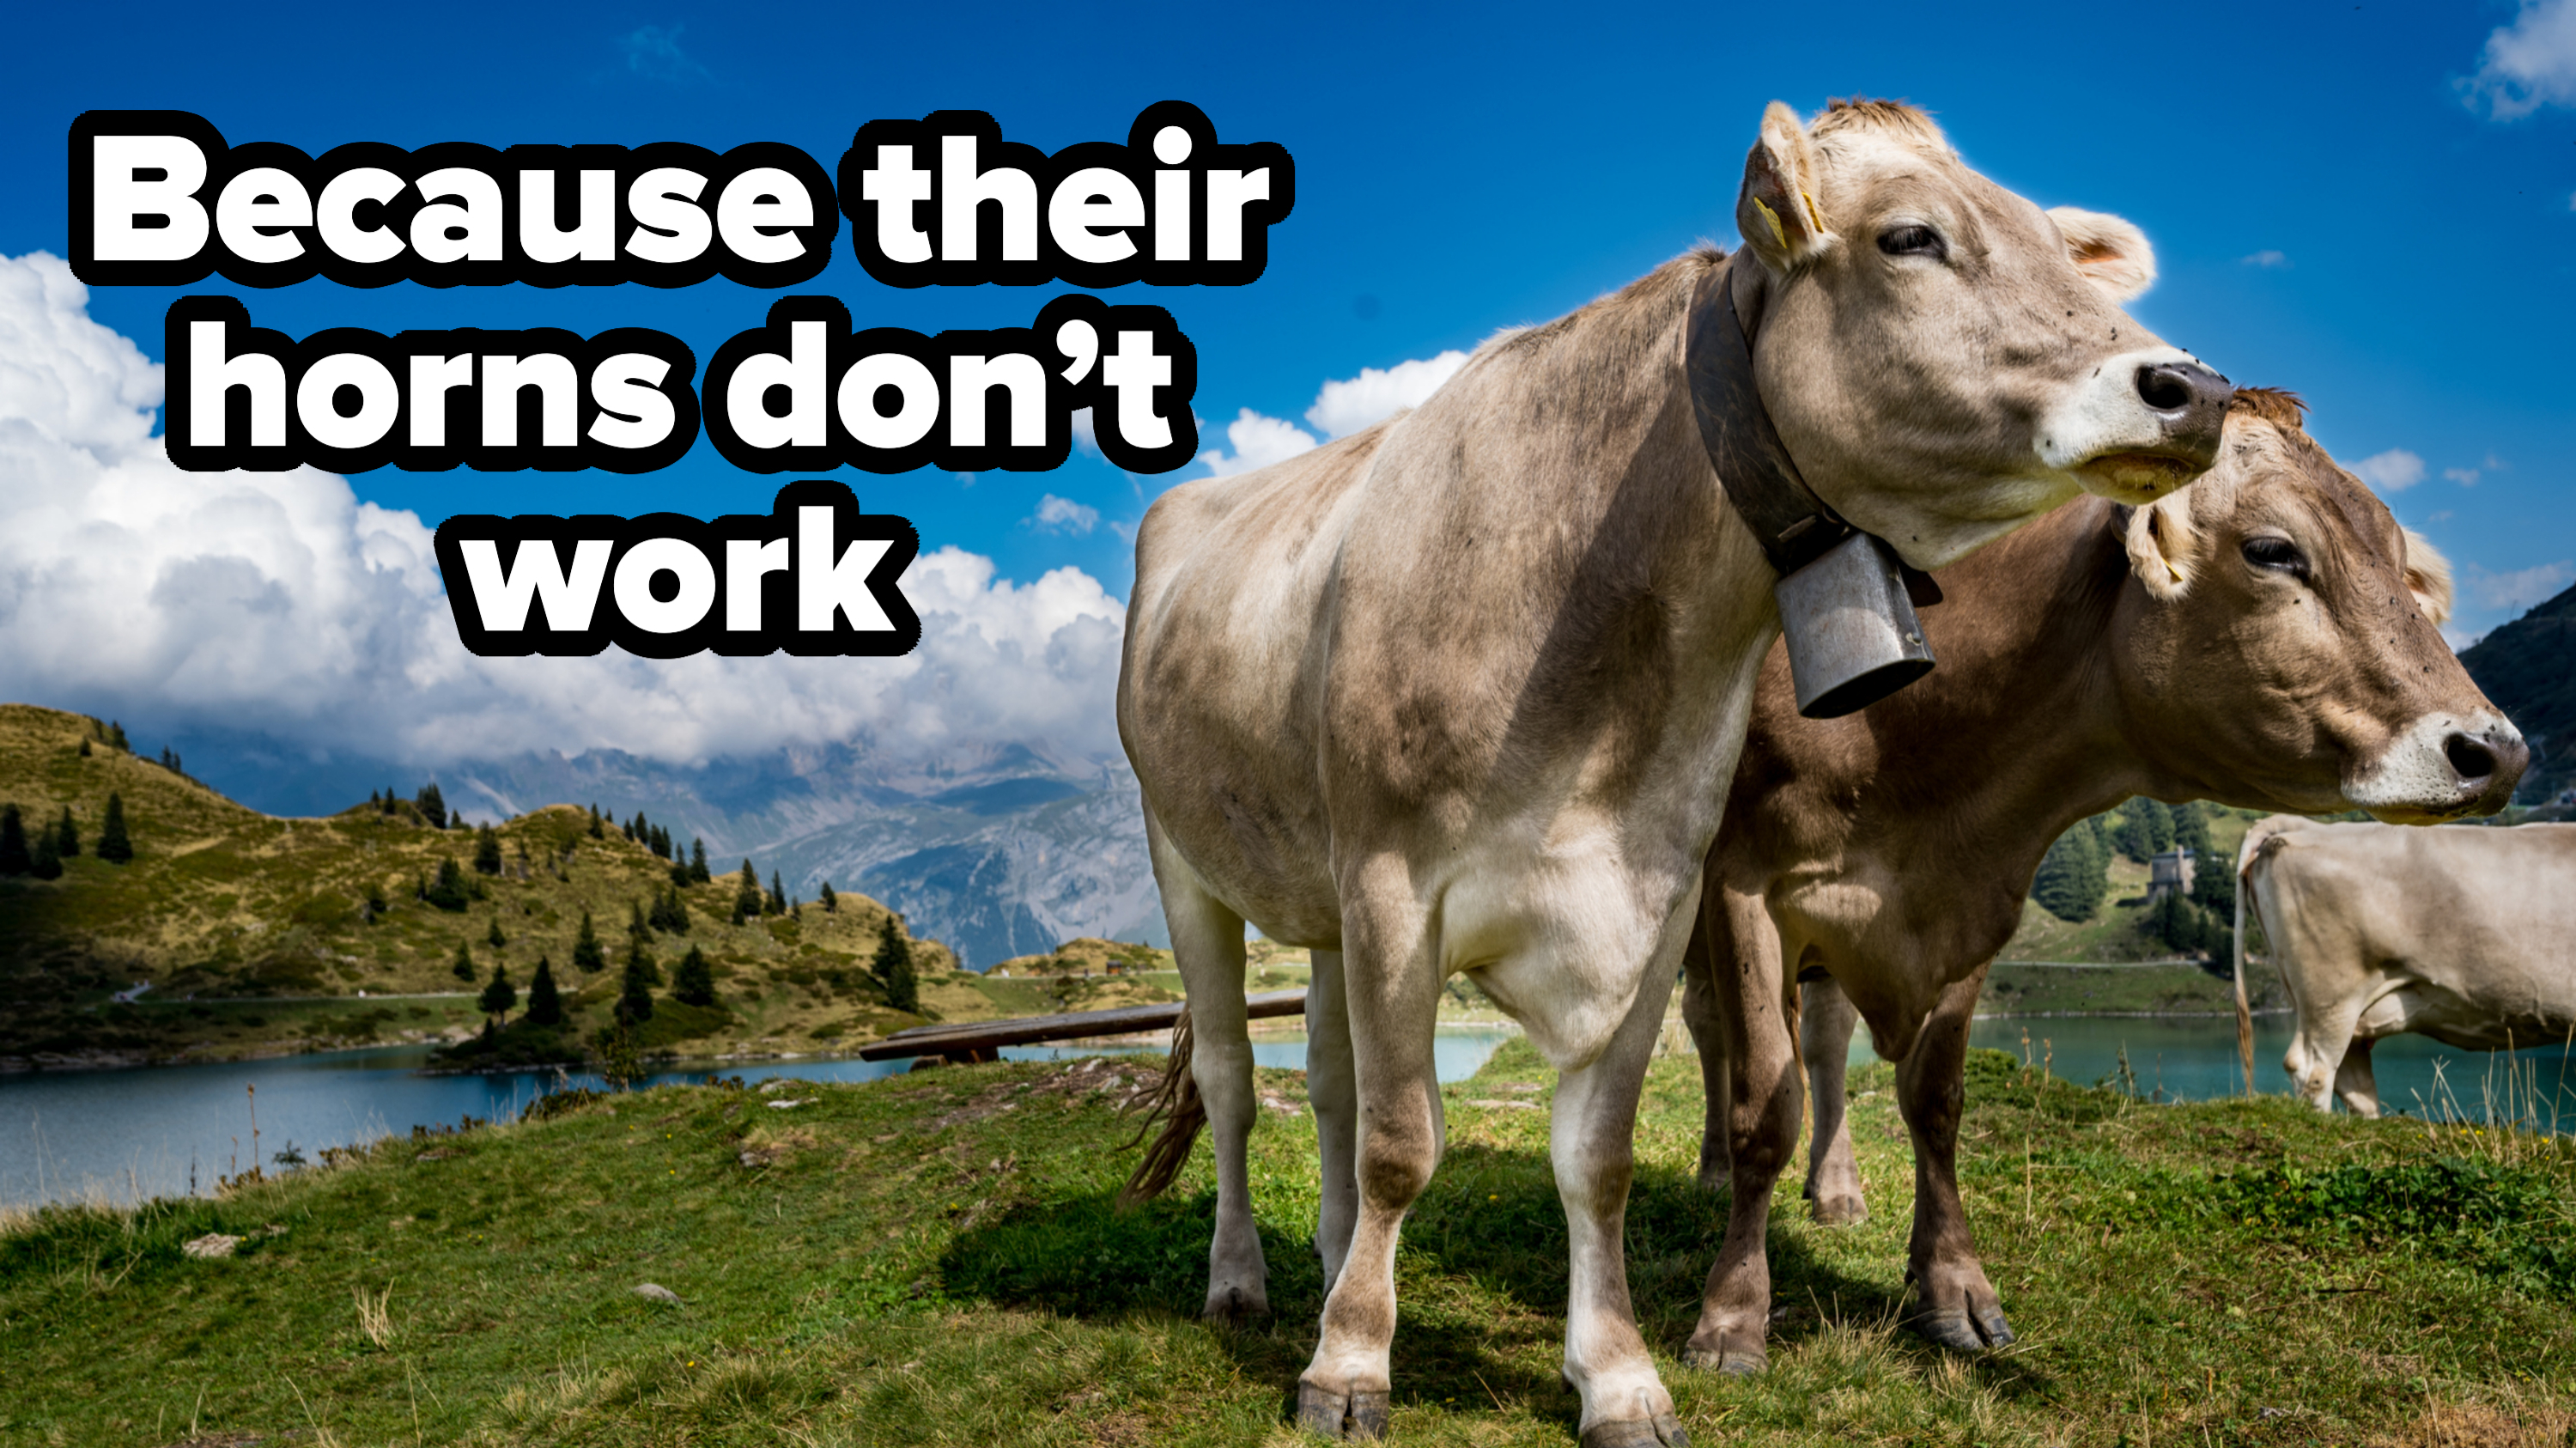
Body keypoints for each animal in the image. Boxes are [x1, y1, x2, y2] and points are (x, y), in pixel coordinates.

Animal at [1123, 95, 2236, 1433]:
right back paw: (1243, 1279)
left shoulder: (1652, 897)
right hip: (1187, 859)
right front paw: (1348, 1367)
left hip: (1328, 902)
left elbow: (1592, 1156)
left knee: (1332, 1086)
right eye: (1911, 237)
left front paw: (1615, 1371)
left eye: (2060, 252)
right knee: (1239, 1077)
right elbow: (1402, 1141)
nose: (2194, 387)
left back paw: (1340, 1259)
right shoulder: (1394, 881)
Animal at [1659, 381, 2524, 1360]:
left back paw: (1836, 1189)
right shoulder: (1746, 892)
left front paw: (1953, 1287)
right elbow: (1763, 1107)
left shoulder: (1972, 904)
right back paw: (1713, 1171)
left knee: (1827, 1049)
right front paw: (1732, 1315)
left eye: (2398, 555)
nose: (2496, 751)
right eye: (2273, 550)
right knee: (1720, 1041)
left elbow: (1935, 1100)